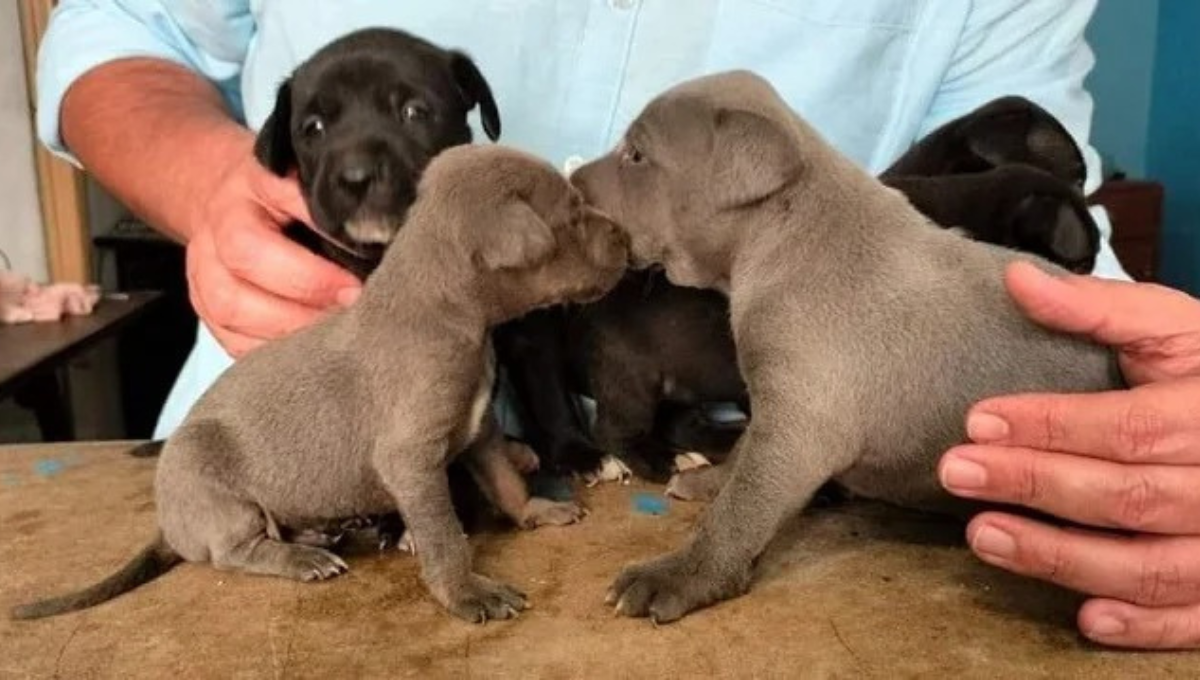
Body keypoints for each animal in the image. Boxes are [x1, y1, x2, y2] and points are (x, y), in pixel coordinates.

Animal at [16, 146, 628, 623]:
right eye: (573, 215)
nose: (625, 235)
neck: (449, 315)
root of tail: (169, 522)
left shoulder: (477, 433)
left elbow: (504, 480)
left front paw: (535, 512)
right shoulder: (412, 459)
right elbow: (445, 537)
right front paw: (465, 592)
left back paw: (315, 536)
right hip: (214, 485)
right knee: (235, 549)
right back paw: (302, 558)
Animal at [571, 71, 1123, 623]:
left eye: (637, 155)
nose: (572, 186)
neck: (789, 232)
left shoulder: (800, 422)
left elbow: (743, 506)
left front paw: (680, 574)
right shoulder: (780, 406)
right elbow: (745, 460)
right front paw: (714, 481)